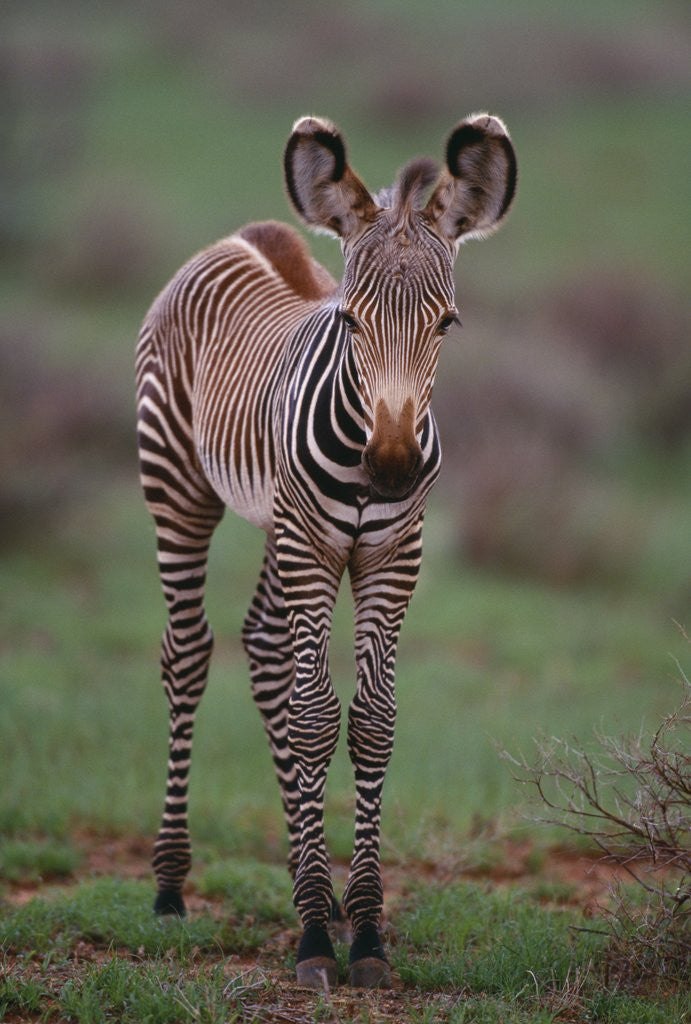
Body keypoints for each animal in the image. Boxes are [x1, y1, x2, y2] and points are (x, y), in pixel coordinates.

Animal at [136, 113, 517, 988]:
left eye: (446, 323)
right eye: (349, 321)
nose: (391, 466)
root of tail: (253, 233)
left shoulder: (394, 555)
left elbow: (370, 720)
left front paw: (362, 928)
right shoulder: (312, 546)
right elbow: (313, 716)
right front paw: (315, 937)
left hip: (276, 524)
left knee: (266, 651)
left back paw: (302, 876)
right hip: (180, 485)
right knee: (189, 653)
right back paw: (171, 887)